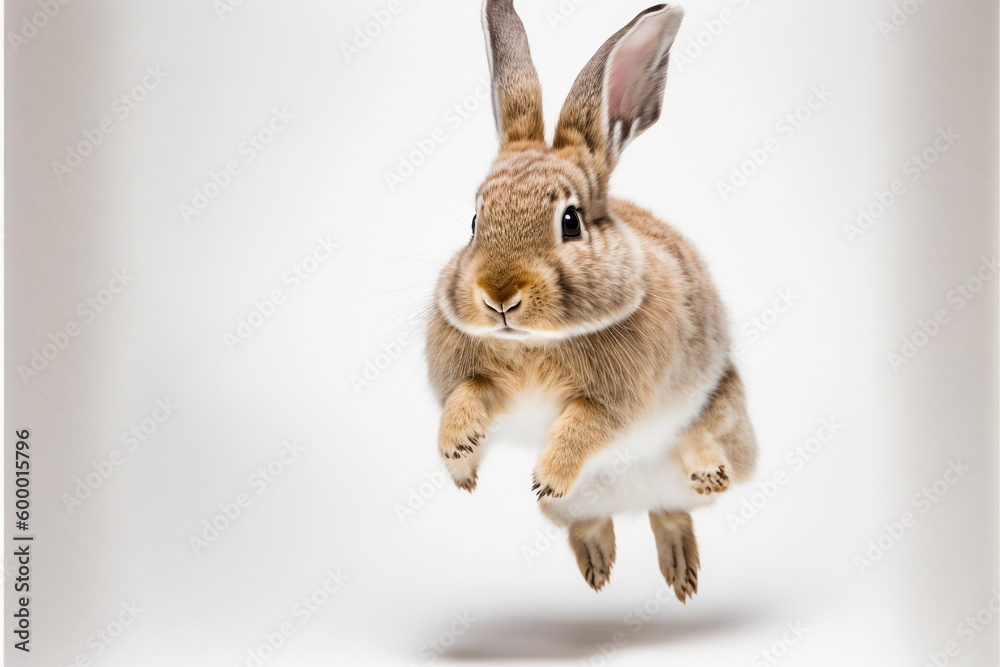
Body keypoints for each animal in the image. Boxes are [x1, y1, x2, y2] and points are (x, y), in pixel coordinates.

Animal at [425, 0, 758, 600]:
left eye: (571, 222)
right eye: (475, 221)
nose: (499, 296)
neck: (532, 342)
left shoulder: (615, 401)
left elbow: (584, 426)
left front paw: (548, 476)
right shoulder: (478, 379)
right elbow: (466, 398)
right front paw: (459, 460)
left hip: (723, 399)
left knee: (695, 449)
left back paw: (697, 504)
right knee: (616, 520)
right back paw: (604, 567)